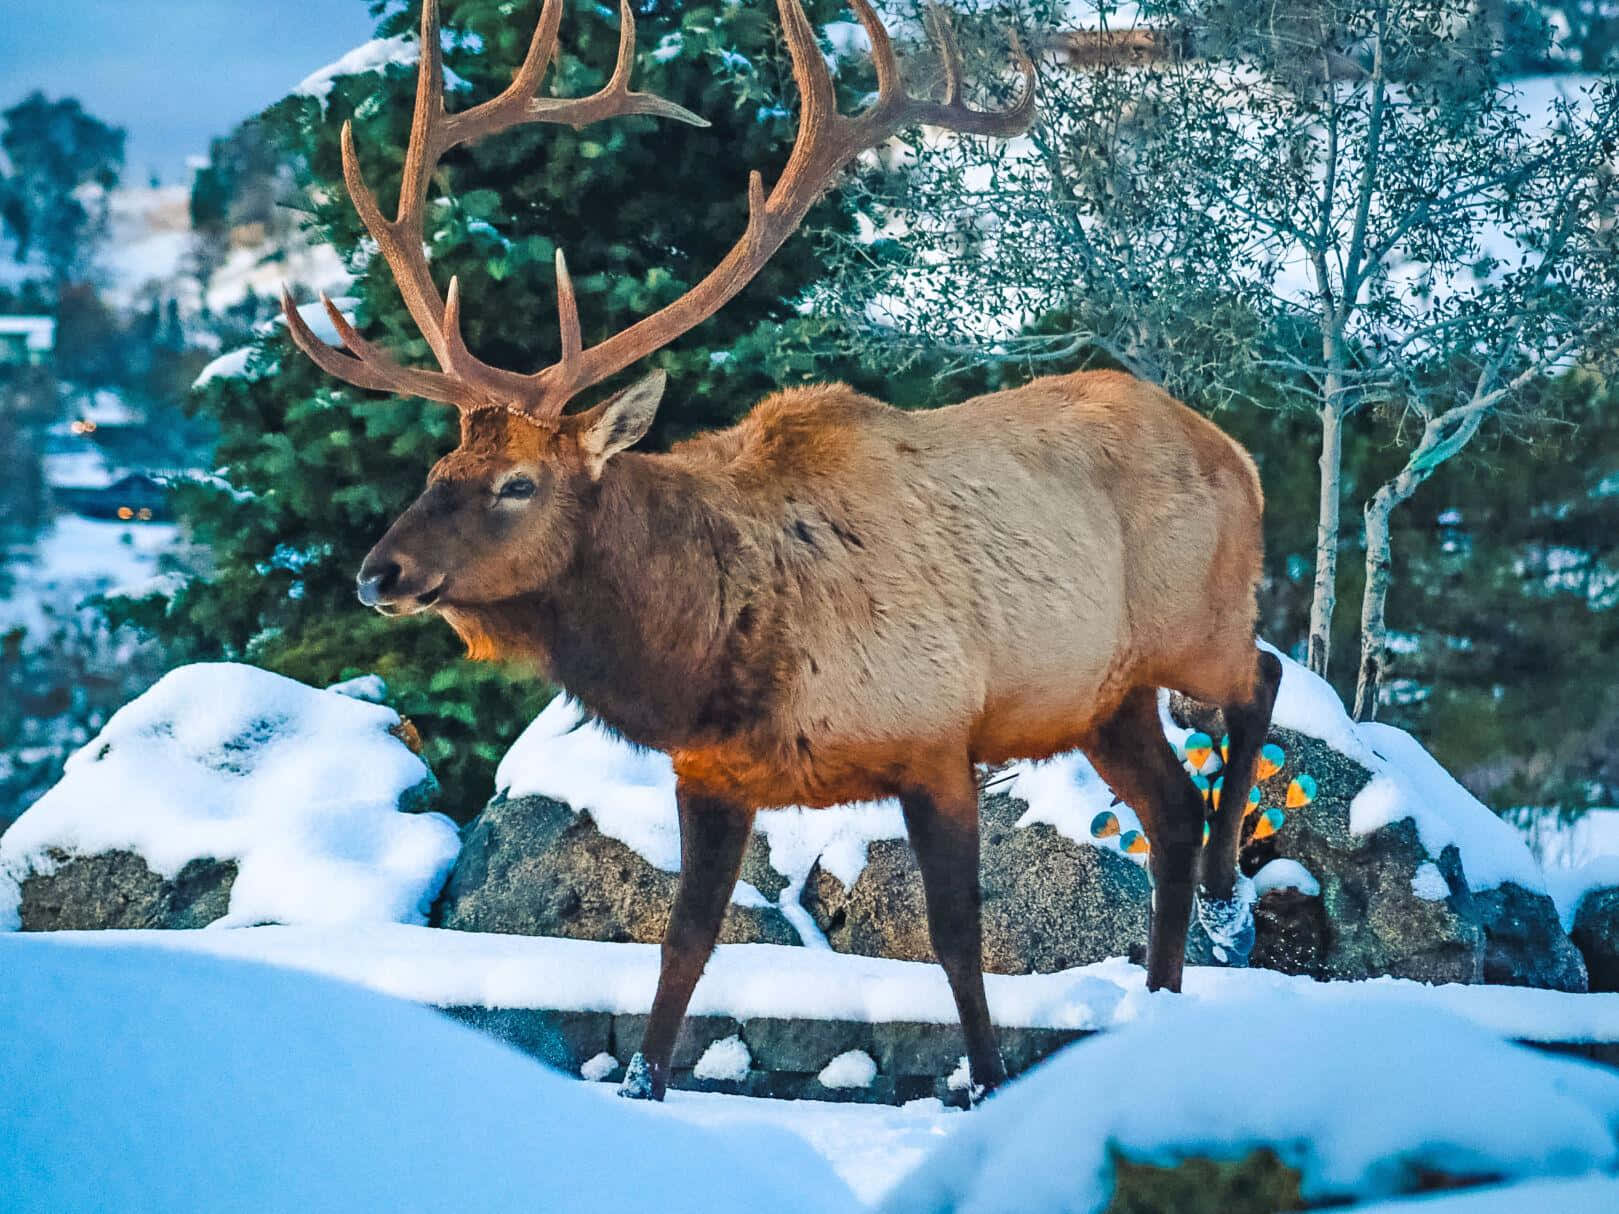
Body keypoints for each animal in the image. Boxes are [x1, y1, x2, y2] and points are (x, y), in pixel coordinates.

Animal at [283, 0, 1284, 1102]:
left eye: (518, 484)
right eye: (438, 463)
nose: (378, 573)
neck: (717, 652)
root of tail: (1233, 449)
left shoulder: (936, 738)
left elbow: (956, 939)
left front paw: (980, 1079)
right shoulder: (710, 774)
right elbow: (683, 944)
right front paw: (643, 1082)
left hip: (1194, 623)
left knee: (1260, 679)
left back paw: (1231, 886)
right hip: (1100, 697)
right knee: (1173, 810)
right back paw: (1163, 993)